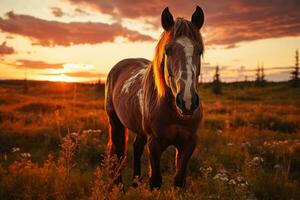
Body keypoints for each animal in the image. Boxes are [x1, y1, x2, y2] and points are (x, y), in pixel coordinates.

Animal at [104, 5, 205, 189]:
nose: (187, 101)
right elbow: (156, 181)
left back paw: (136, 182)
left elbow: (179, 181)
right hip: (115, 123)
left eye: (199, 50)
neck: (174, 113)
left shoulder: (188, 144)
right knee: (118, 152)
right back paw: (119, 186)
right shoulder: (155, 143)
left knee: (136, 147)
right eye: (167, 50)